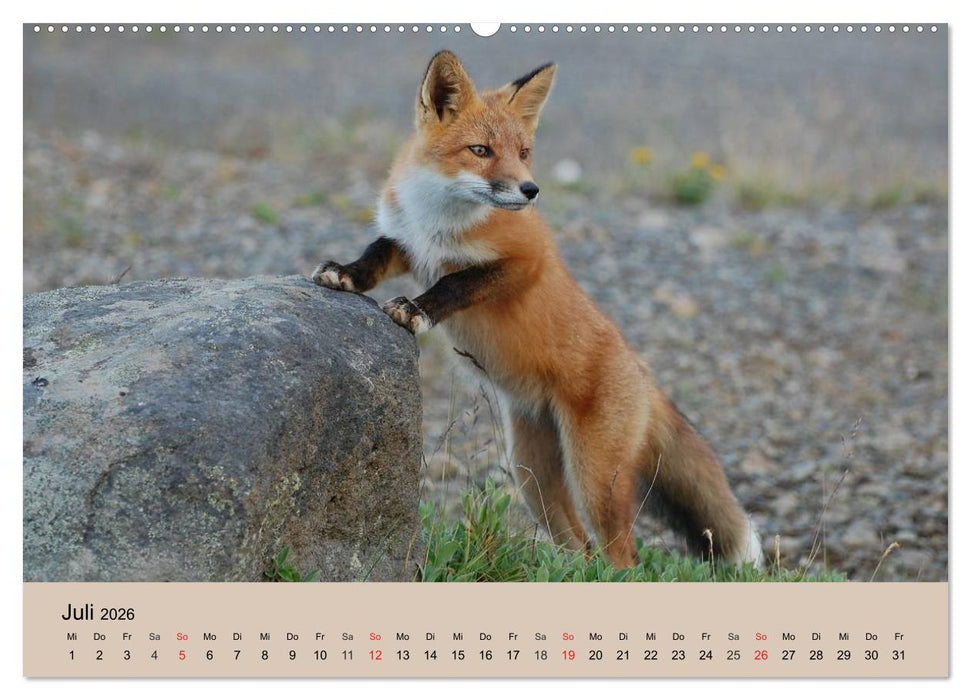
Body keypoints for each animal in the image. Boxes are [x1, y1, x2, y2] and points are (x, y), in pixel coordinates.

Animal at [312, 51, 763, 570]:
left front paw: (417, 310)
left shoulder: (526, 261)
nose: (531, 190)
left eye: (524, 152)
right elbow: (375, 254)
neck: (439, 221)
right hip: (533, 476)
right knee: (580, 547)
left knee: (621, 556)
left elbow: (455, 283)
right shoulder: (407, 243)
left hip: (594, 478)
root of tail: (642, 374)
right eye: (481, 150)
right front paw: (344, 275)